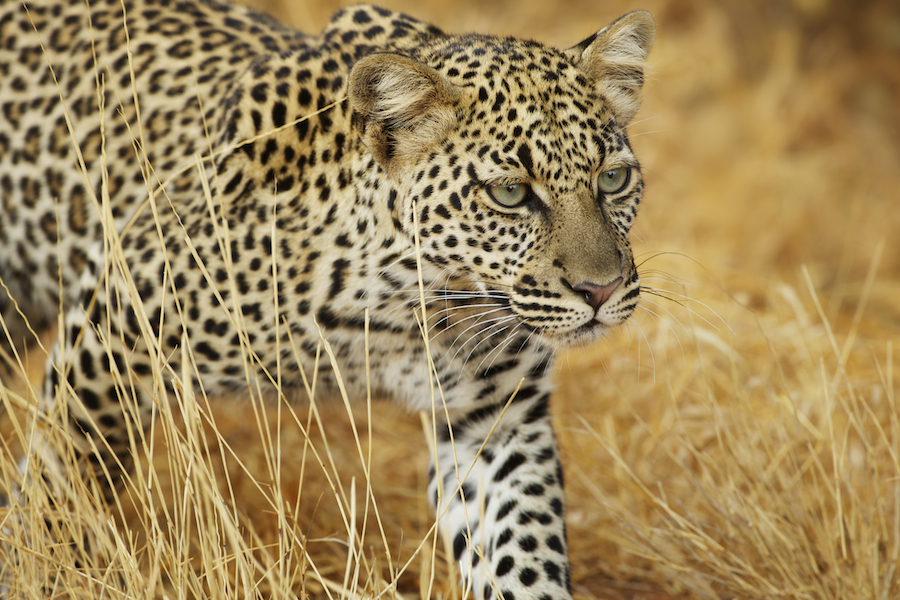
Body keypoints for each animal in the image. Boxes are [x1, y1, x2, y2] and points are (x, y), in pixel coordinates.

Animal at [0, 1, 652, 596]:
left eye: (613, 179)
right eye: (511, 194)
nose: (601, 289)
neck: (408, 307)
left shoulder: (496, 420)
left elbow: (521, 553)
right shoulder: (111, 336)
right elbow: (60, 496)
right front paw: (43, 571)